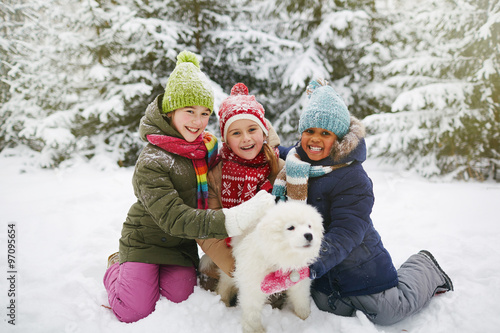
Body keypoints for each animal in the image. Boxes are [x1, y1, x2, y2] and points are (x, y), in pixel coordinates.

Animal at [202, 200, 324, 332]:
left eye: (309, 226)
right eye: (291, 227)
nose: (309, 235)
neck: (281, 260)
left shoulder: (299, 280)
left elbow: (301, 299)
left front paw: (305, 317)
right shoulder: (253, 286)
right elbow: (252, 312)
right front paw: (255, 329)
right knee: (224, 285)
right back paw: (224, 302)